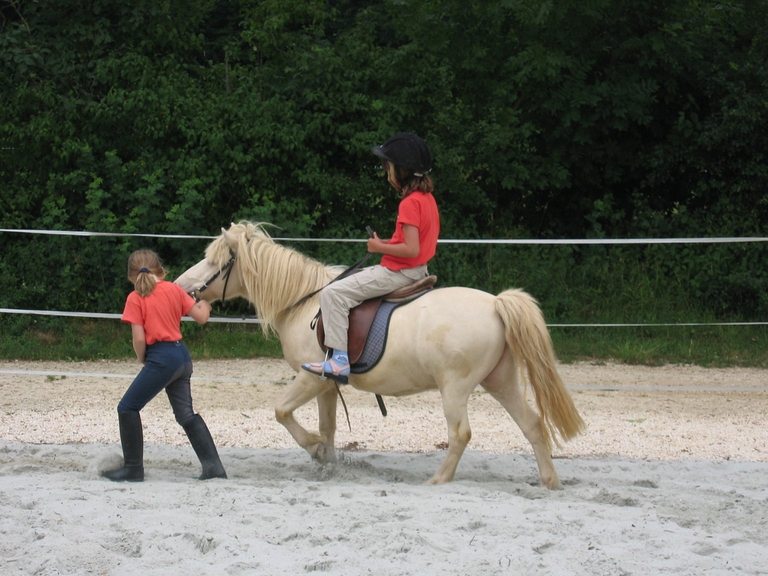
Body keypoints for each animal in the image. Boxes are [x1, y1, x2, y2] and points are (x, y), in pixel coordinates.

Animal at [175, 221, 585, 489]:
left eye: (214, 262)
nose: (181, 285)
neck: (304, 301)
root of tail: (496, 304)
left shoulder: (310, 377)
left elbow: (282, 413)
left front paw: (314, 450)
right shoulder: (326, 384)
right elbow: (328, 426)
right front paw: (329, 463)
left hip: (455, 388)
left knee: (461, 433)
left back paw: (439, 480)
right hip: (500, 381)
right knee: (532, 425)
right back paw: (549, 482)